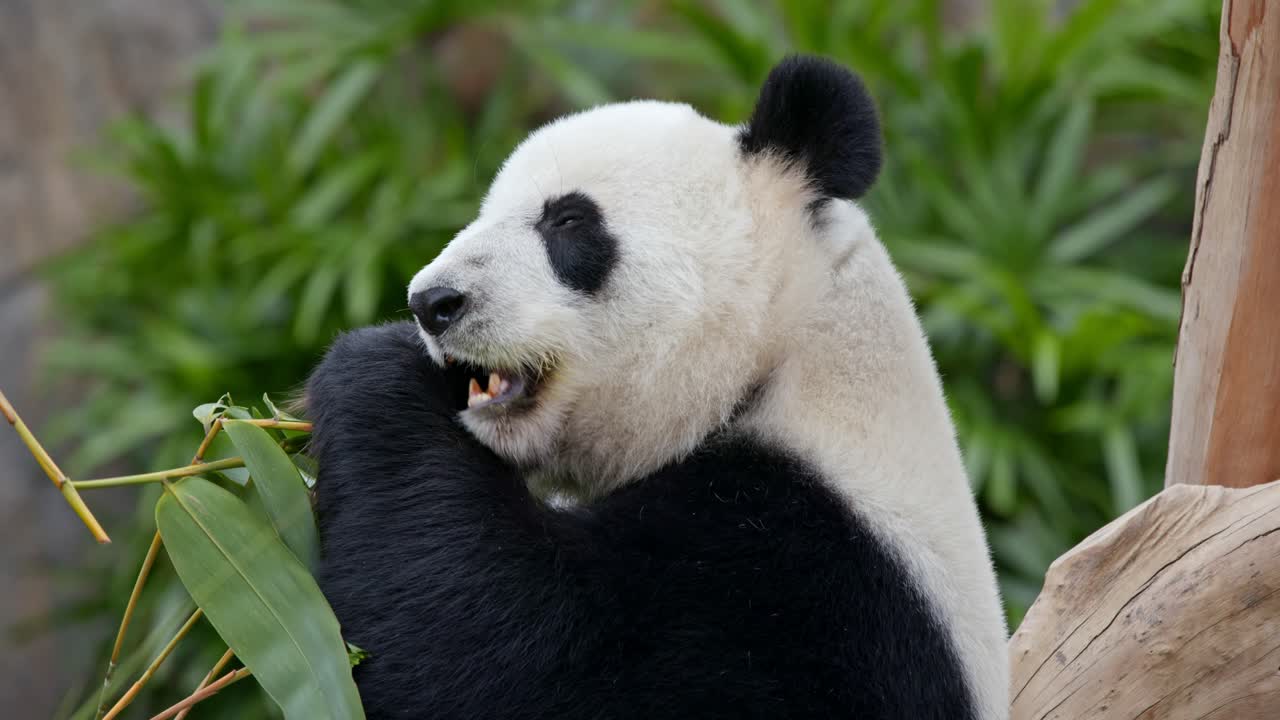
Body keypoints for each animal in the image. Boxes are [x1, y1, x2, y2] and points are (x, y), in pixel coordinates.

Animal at [307, 55, 1008, 719]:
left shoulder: (812, 588)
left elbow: (512, 654)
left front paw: (376, 371)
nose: (432, 302)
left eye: (567, 220)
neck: (781, 358)